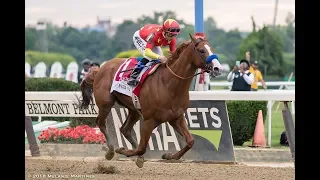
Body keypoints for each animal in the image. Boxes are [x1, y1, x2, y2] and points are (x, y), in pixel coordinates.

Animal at [79, 33, 221, 167]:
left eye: (212, 49)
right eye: (202, 50)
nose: (217, 68)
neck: (169, 85)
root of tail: (100, 69)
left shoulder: (176, 117)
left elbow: (190, 141)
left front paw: (168, 155)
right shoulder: (149, 120)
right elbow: (141, 148)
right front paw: (123, 150)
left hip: (134, 109)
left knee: (125, 129)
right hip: (105, 104)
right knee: (101, 123)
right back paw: (111, 151)